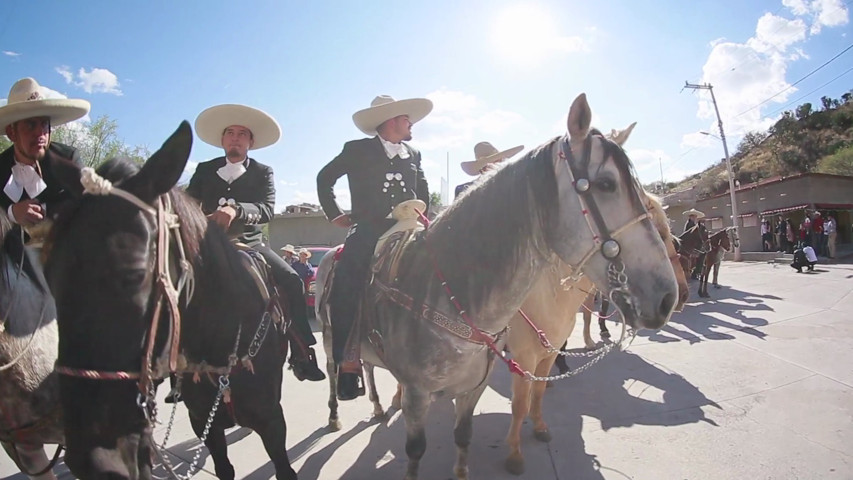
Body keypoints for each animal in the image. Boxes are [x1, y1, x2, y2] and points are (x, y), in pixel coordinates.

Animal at [45, 124, 302, 480]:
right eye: (48, 274)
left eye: (135, 274)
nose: (93, 460)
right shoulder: (202, 420)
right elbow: (223, 467)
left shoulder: (272, 421)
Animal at [502, 189, 688, 474]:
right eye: (659, 233)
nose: (679, 296)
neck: (545, 292)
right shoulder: (524, 358)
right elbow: (520, 405)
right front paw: (514, 454)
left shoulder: (547, 353)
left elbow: (539, 391)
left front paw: (540, 427)